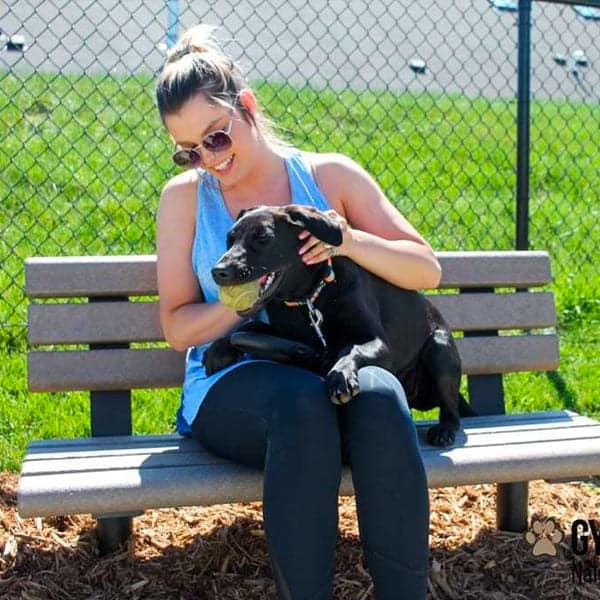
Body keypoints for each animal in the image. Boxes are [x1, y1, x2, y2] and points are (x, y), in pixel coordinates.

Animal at [204, 206, 476, 446]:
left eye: (262, 237)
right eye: (230, 239)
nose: (218, 271)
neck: (308, 298)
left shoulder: (378, 343)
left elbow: (351, 349)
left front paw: (340, 376)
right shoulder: (287, 336)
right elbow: (249, 328)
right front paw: (220, 348)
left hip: (439, 349)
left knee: (451, 408)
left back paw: (445, 429)